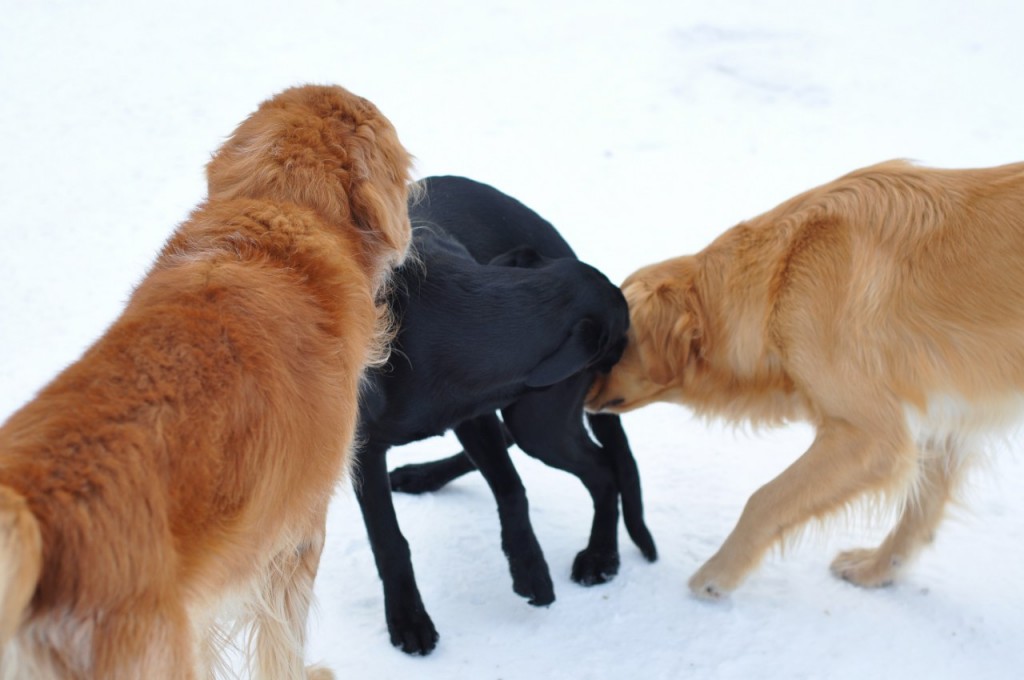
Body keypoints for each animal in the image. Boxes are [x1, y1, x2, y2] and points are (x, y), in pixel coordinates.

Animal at [354, 175, 655, 655]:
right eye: (624, 335)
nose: (617, 375)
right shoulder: (369, 444)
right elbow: (389, 539)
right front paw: (409, 619)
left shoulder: (473, 410)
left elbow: (512, 489)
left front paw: (529, 568)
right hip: (536, 416)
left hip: (539, 419)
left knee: (603, 468)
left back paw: (601, 557)